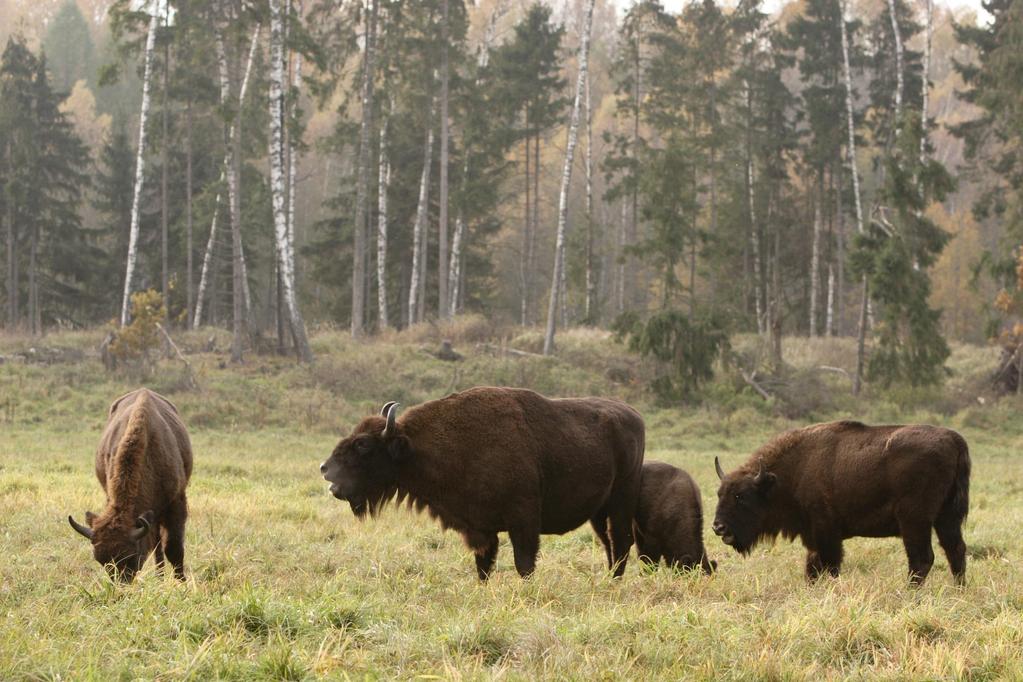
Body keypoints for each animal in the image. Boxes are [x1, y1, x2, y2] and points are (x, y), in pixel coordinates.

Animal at [68, 388, 192, 580]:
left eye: (131, 557)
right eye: (102, 561)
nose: (121, 583)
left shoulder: (176, 502)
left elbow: (174, 548)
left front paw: (182, 582)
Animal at [315, 386, 642, 580]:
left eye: (363, 445)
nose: (325, 469)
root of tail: (634, 415)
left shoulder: (523, 521)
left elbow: (524, 563)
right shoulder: (478, 528)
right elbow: (483, 565)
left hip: (620, 503)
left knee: (620, 541)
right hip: (598, 511)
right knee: (609, 543)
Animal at [712, 421, 965, 588]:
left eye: (741, 496)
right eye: (719, 493)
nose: (718, 527)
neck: (795, 471)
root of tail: (954, 440)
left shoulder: (827, 533)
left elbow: (830, 566)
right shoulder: (813, 537)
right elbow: (813, 568)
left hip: (914, 521)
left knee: (921, 559)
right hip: (947, 517)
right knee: (955, 550)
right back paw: (958, 589)